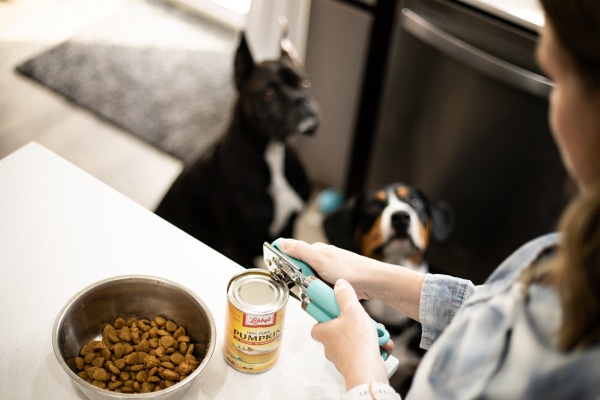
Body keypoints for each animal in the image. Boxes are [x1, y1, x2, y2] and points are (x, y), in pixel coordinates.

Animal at [157, 31, 322, 268]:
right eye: (269, 92)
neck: (272, 151)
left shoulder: (290, 228)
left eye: (305, 83)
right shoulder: (240, 246)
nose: (301, 99)